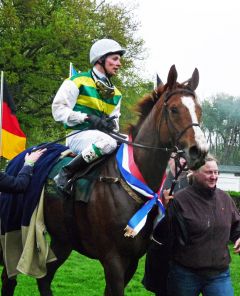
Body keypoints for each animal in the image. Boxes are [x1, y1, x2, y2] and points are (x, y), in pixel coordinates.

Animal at [0, 64, 208, 294]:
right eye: (174, 109)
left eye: (199, 110)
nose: (199, 151)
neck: (127, 181)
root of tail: (16, 160)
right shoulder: (113, 259)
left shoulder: (132, 261)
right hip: (13, 229)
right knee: (9, 277)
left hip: (63, 240)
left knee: (44, 278)